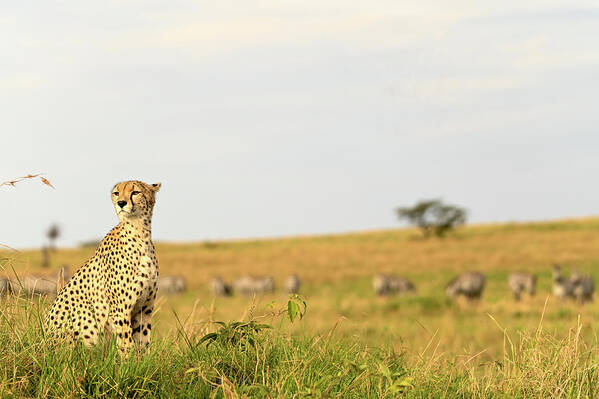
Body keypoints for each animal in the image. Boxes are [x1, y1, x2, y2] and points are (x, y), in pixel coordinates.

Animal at [45, 180, 162, 354]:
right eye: (116, 193)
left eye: (135, 192)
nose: (121, 203)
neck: (140, 234)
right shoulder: (120, 310)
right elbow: (126, 343)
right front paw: (128, 360)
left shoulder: (145, 309)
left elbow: (143, 341)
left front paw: (144, 360)